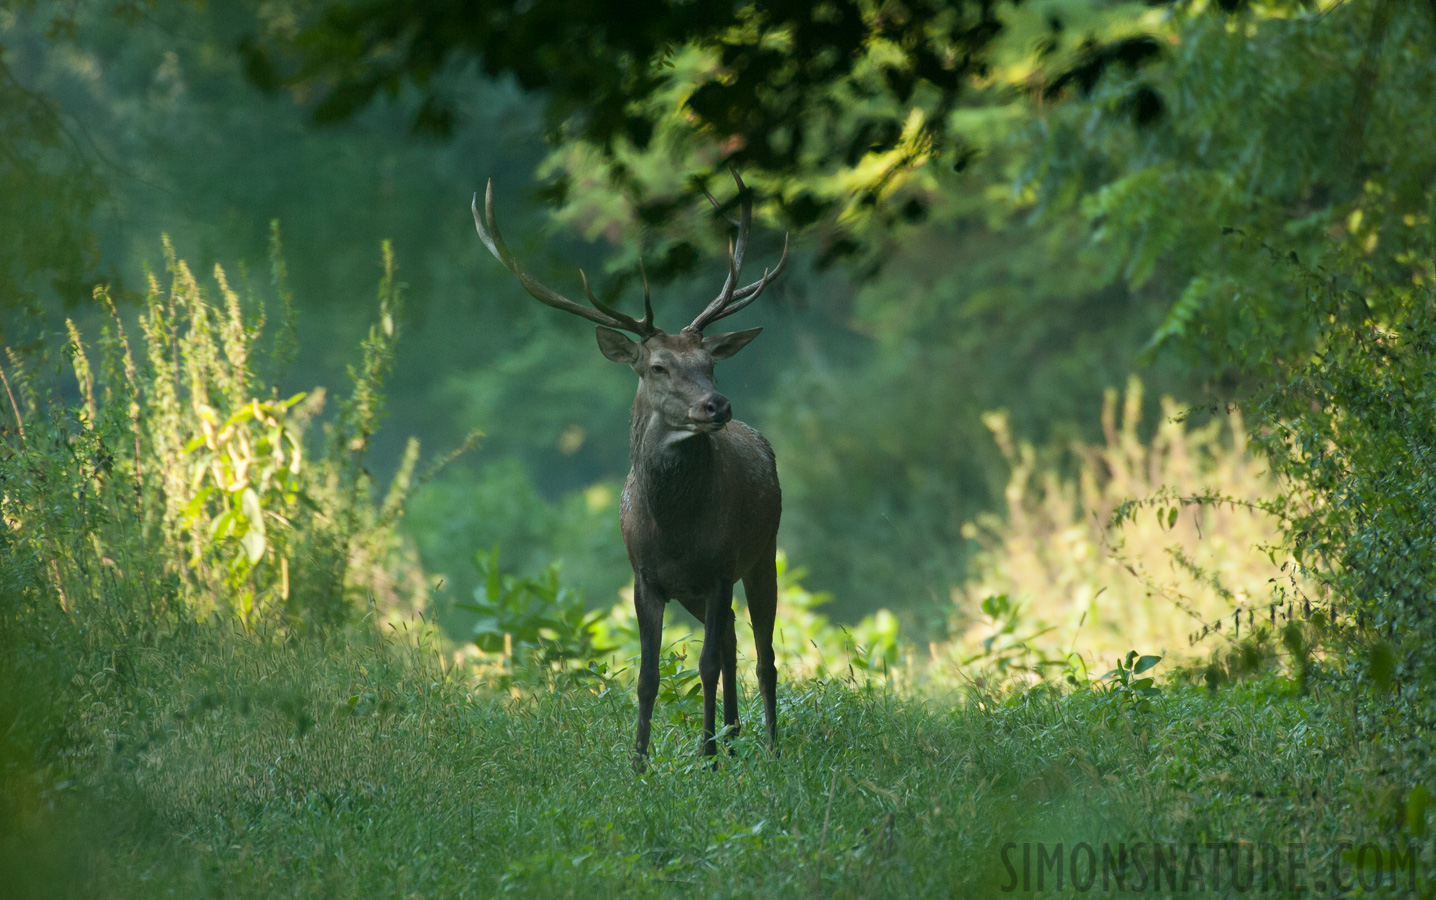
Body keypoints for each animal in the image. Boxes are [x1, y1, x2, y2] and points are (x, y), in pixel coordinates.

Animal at [471, 170, 786, 769]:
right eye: (658, 366)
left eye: (709, 363)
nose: (717, 405)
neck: (675, 527)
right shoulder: (647, 577)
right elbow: (647, 674)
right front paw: (639, 764)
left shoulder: (718, 568)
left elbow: (705, 664)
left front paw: (705, 758)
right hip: (702, 588)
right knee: (734, 641)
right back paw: (735, 737)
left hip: (762, 553)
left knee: (761, 653)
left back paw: (767, 746)